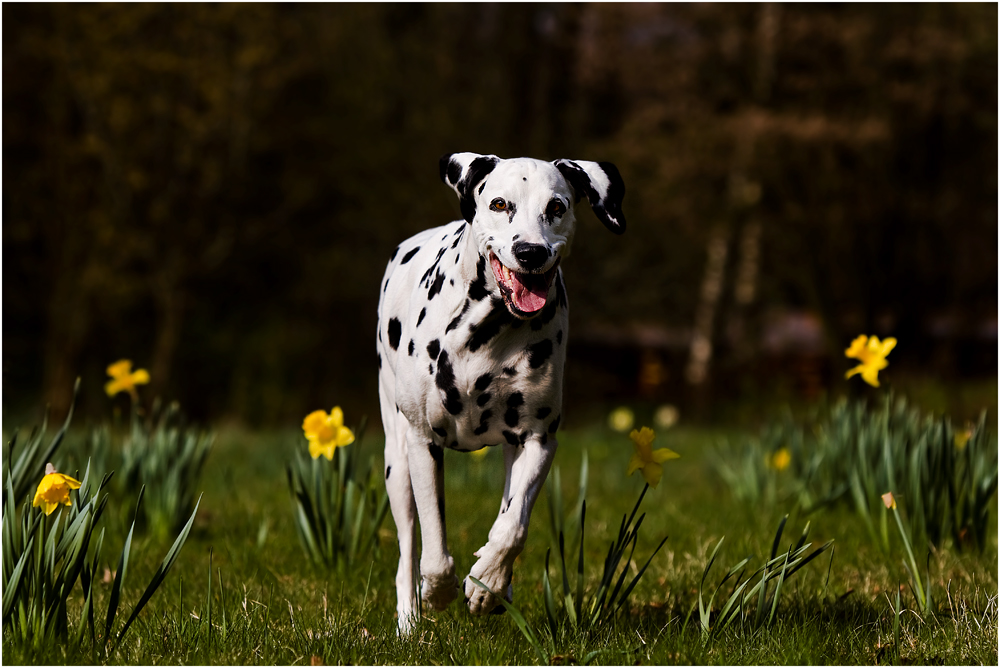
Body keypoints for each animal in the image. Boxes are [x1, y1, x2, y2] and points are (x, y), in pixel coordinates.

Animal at [376, 151, 624, 632]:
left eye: (557, 207)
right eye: (499, 204)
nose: (531, 252)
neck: (487, 331)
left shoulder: (538, 440)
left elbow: (513, 527)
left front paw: (486, 581)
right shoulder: (422, 444)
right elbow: (433, 547)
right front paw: (438, 591)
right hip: (396, 462)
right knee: (407, 542)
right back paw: (409, 618)